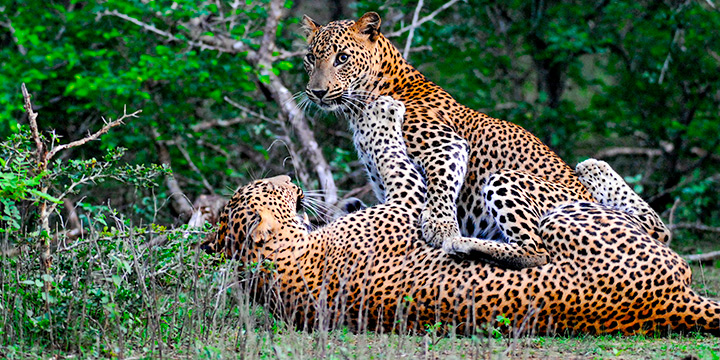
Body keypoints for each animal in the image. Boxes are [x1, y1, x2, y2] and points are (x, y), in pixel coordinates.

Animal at [202, 97, 720, 336]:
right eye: (274, 188)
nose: (290, 179)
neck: (276, 265)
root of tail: (672, 301)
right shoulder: (405, 205)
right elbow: (390, 156)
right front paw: (382, 113)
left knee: (647, 218)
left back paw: (592, 165)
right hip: (556, 211)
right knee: (546, 246)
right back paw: (467, 243)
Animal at [300, 11, 668, 270]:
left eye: (342, 58)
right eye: (310, 58)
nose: (316, 92)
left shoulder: (445, 146)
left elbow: (439, 186)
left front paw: (441, 227)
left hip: (507, 180)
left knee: (537, 250)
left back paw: (465, 244)